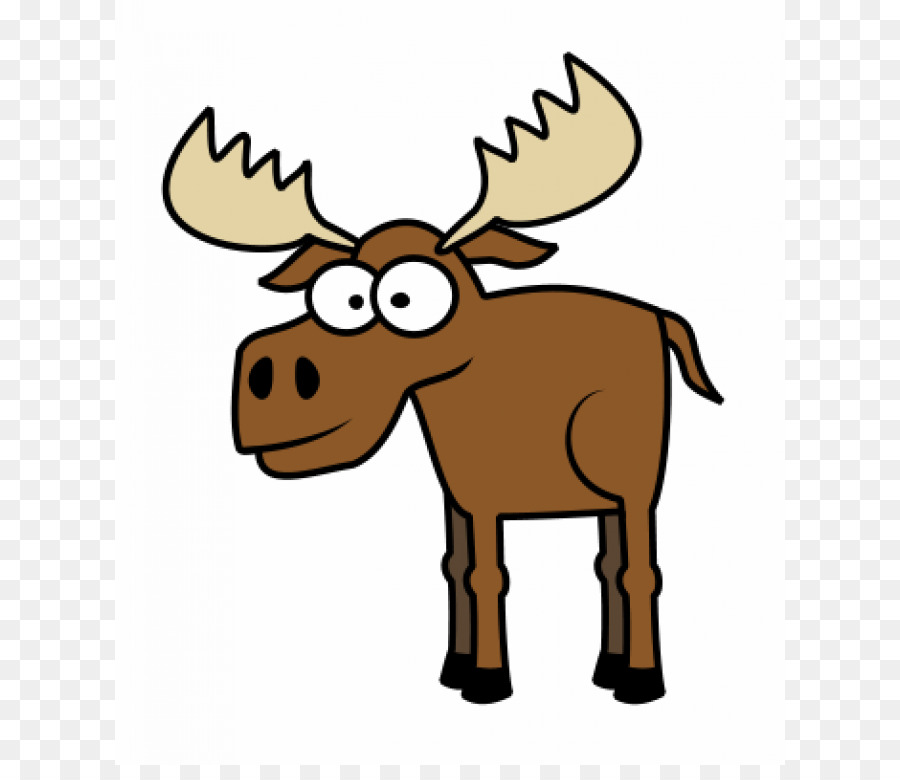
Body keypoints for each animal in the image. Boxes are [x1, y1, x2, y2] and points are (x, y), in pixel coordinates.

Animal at [162, 53, 723, 705]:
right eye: (338, 295)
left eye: (407, 298)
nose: (270, 371)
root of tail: (658, 316)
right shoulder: (459, 494)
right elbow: (455, 568)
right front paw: (455, 668)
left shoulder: (488, 496)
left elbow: (487, 575)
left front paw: (488, 681)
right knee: (608, 565)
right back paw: (607, 667)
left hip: (629, 475)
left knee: (637, 570)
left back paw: (637, 679)